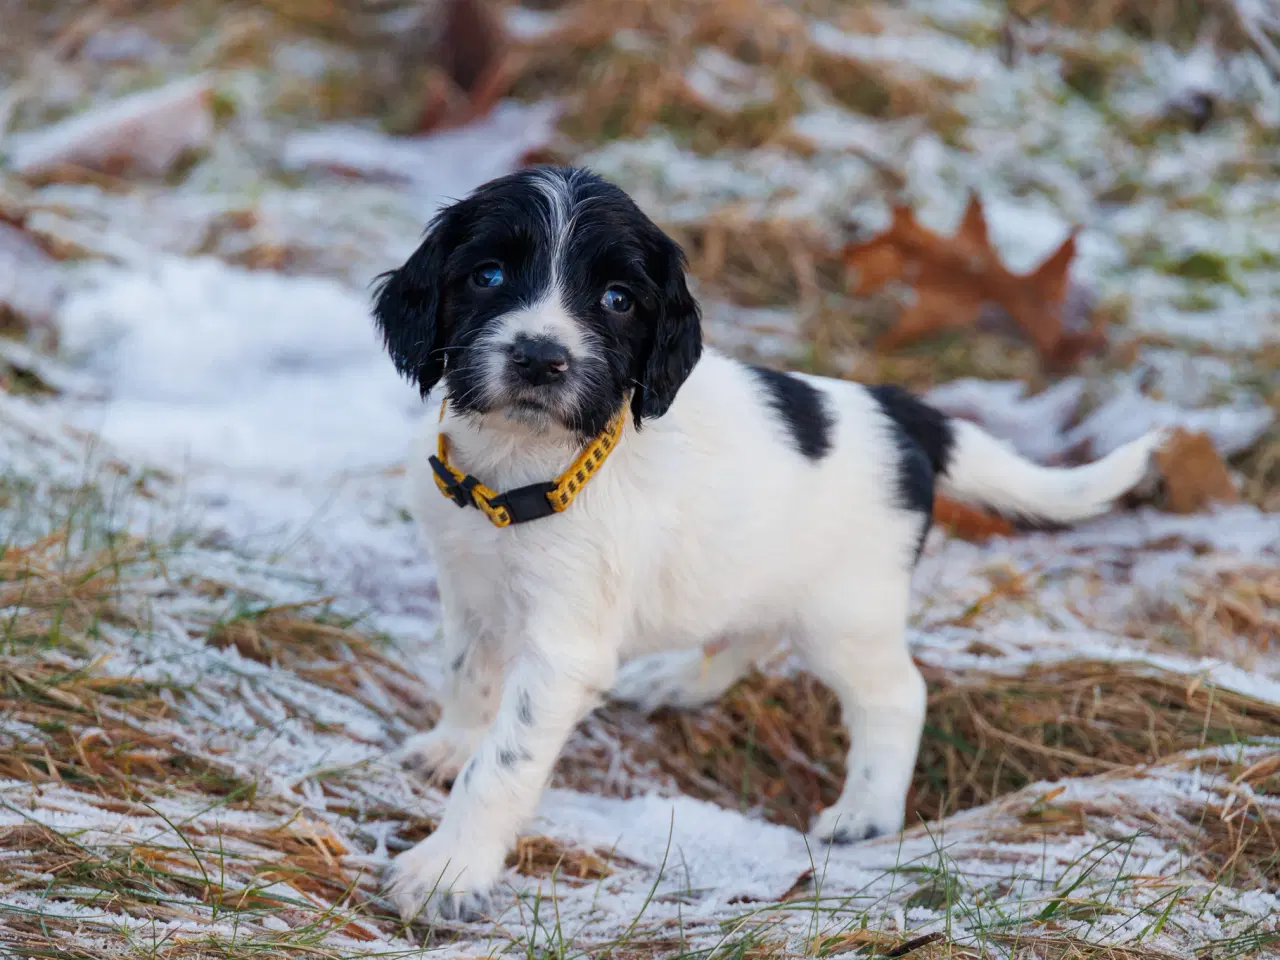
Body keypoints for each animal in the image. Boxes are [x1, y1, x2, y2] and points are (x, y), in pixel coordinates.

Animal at [371, 168, 1162, 926]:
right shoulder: (469, 586)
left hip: (847, 617)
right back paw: (675, 683)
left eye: (618, 299)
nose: (541, 359)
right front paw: (452, 743)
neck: (521, 473)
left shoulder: (564, 648)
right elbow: (468, 675)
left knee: (897, 696)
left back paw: (865, 813)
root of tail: (898, 411)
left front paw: (446, 872)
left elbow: (502, 765)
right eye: (488, 275)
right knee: (748, 631)